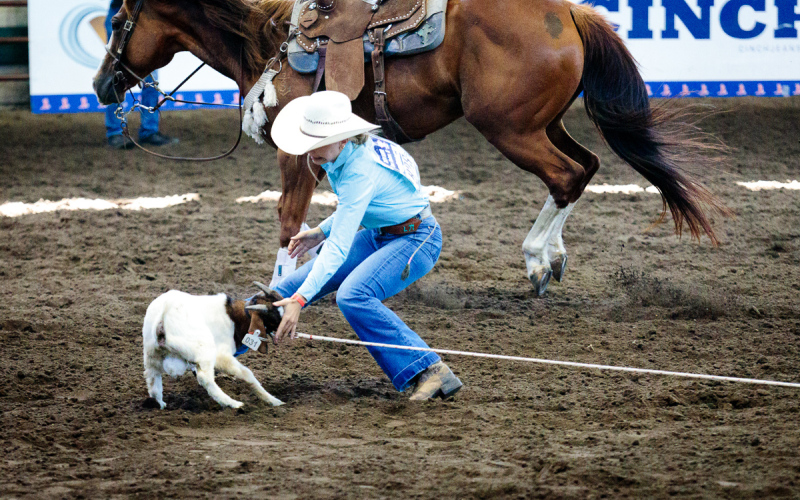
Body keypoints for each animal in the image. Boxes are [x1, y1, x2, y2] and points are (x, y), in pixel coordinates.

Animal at [142, 281, 284, 409]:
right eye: (274, 318)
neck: (234, 317)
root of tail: (163, 316)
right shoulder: (222, 356)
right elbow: (246, 373)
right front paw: (274, 400)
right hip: (205, 350)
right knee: (205, 378)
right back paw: (232, 403)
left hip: (151, 354)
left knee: (152, 378)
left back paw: (159, 404)